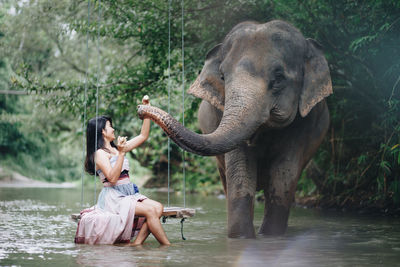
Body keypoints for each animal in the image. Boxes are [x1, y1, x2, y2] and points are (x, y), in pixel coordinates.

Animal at [139, 21, 332, 239]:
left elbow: (283, 174)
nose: (141, 109)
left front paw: (271, 237)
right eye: (223, 76)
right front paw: (242, 239)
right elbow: (241, 173)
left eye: (279, 78)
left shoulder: (304, 124)